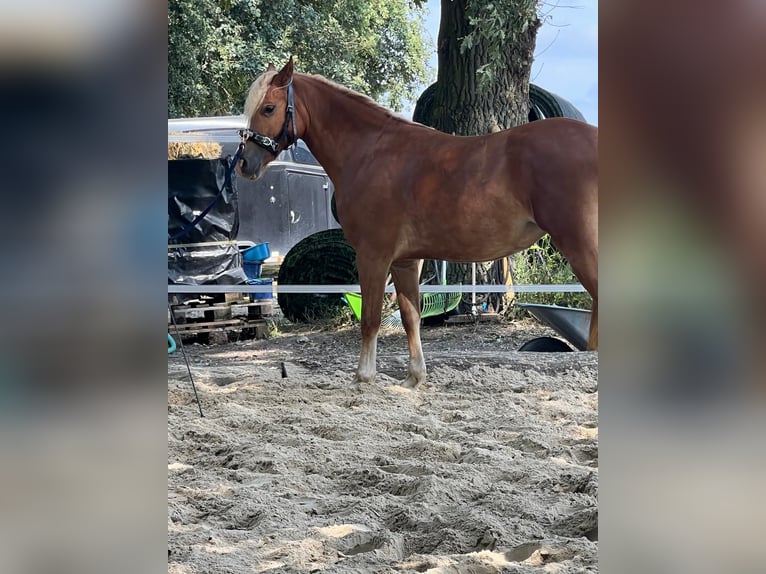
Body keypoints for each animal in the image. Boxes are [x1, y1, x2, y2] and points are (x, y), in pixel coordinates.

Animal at [240, 58, 600, 390]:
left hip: (578, 245)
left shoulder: (373, 256)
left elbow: (370, 318)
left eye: (269, 108)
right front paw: (414, 377)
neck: (371, 151)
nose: (245, 164)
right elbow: (411, 316)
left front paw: (363, 377)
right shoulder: (405, 261)